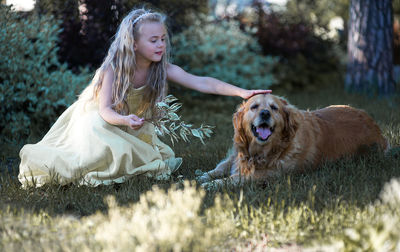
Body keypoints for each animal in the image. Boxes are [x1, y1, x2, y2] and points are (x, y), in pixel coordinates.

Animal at [195, 94, 390, 187]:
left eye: (274, 108)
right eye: (254, 107)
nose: (264, 113)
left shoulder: (271, 175)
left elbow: (233, 178)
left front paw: (209, 185)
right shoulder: (236, 155)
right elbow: (219, 168)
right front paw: (200, 177)